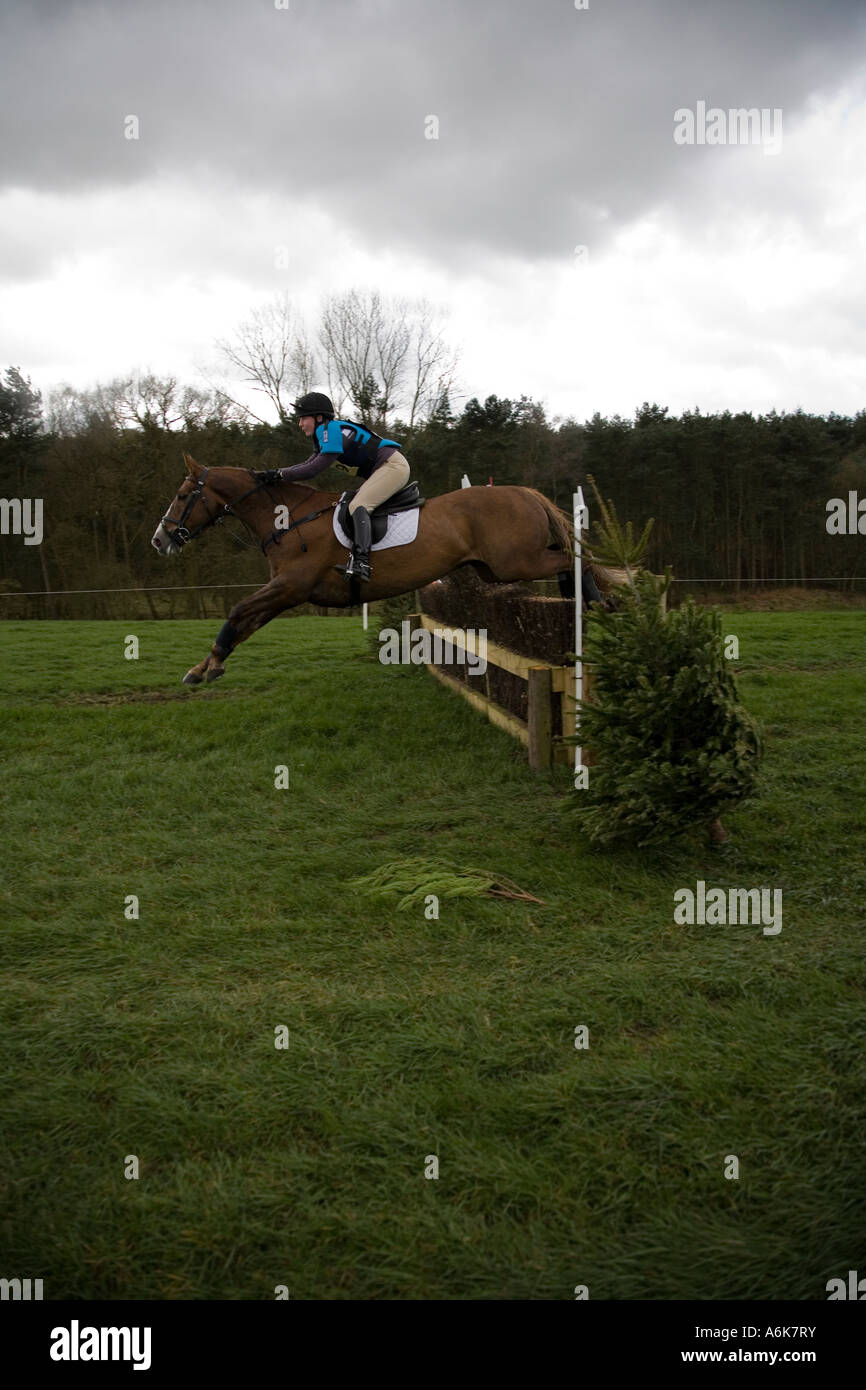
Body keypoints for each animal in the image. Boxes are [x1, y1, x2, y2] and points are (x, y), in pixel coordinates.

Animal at [150, 458, 622, 686]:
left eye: (181, 496)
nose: (160, 539)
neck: (288, 518)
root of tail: (524, 492)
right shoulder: (286, 592)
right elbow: (244, 624)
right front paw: (206, 667)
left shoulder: (290, 586)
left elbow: (236, 612)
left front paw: (208, 666)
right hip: (493, 568)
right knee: (568, 557)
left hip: (515, 561)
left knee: (576, 557)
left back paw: (598, 603)